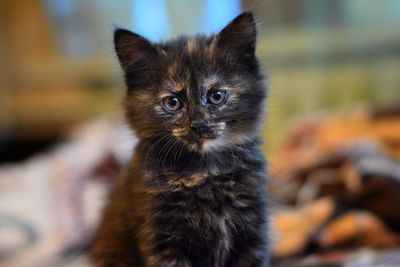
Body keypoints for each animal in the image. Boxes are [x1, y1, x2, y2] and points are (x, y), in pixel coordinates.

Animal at [90, 12, 270, 267]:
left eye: (216, 96)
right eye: (173, 103)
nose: (198, 125)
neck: (205, 172)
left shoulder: (252, 232)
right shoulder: (164, 240)